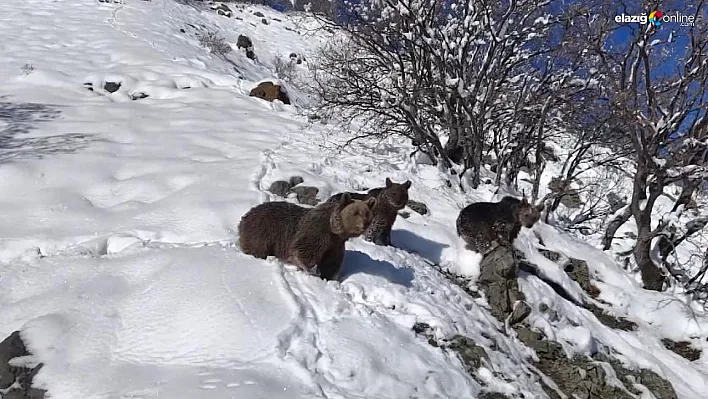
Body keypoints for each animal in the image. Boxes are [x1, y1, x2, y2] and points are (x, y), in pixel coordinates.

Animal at [238, 194, 378, 282]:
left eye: (367, 214)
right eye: (356, 212)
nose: (365, 224)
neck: (335, 230)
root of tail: (245, 216)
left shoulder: (335, 244)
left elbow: (331, 263)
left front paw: (328, 276)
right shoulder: (318, 232)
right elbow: (305, 250)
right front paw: (314, 270)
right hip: (262, 232)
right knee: (257, 248)